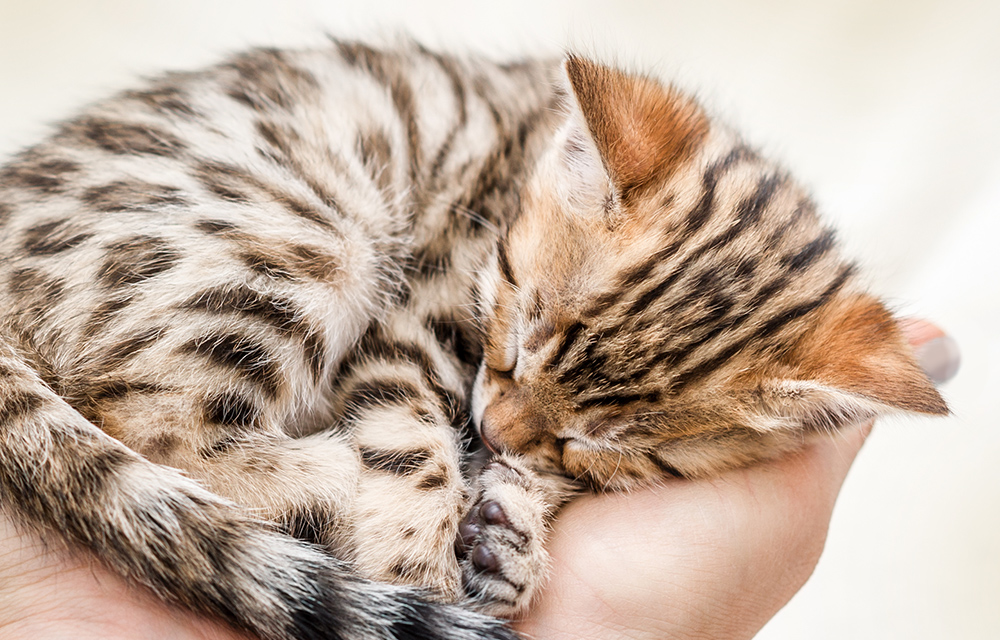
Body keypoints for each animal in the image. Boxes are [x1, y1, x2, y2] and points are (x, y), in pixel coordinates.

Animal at [0, 38, 944, 640]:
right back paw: (336, 481)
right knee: (151, 419)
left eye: (606, 447)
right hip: (312, 234)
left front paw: (512, 526)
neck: (522, 158)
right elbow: (407, 435)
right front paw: (416, 556)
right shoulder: (417, 307)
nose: (491, 431)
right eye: (517, 336)